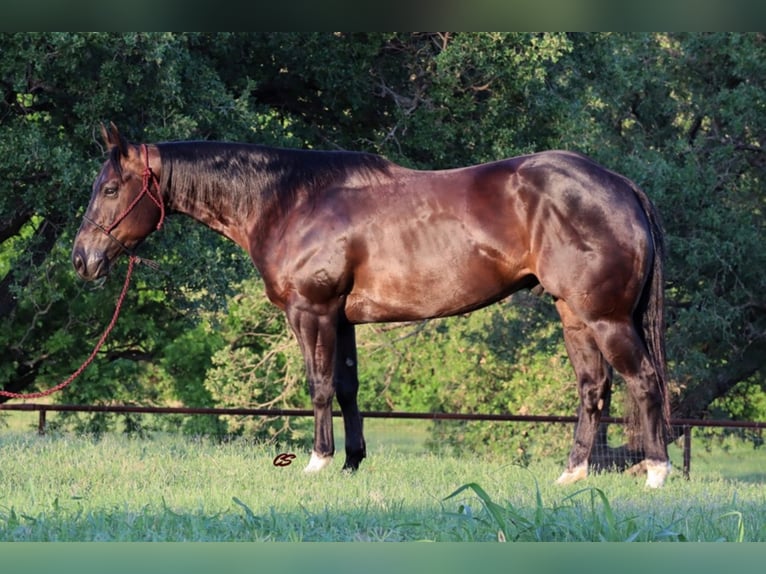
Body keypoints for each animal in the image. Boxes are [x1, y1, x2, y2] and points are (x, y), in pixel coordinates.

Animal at [72, 124, 672, 488]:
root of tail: (621, 187)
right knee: (594, 388)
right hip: (574, 315)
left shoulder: (311, 312)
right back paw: (571, 475)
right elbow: (346, 387)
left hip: (605, 318)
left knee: (643, 382)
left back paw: (656, 473)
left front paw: (317, 462)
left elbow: (317, 386)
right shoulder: (342, 319)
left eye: (110, 188)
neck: (291, 201)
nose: (82, 259)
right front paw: (352, 463)